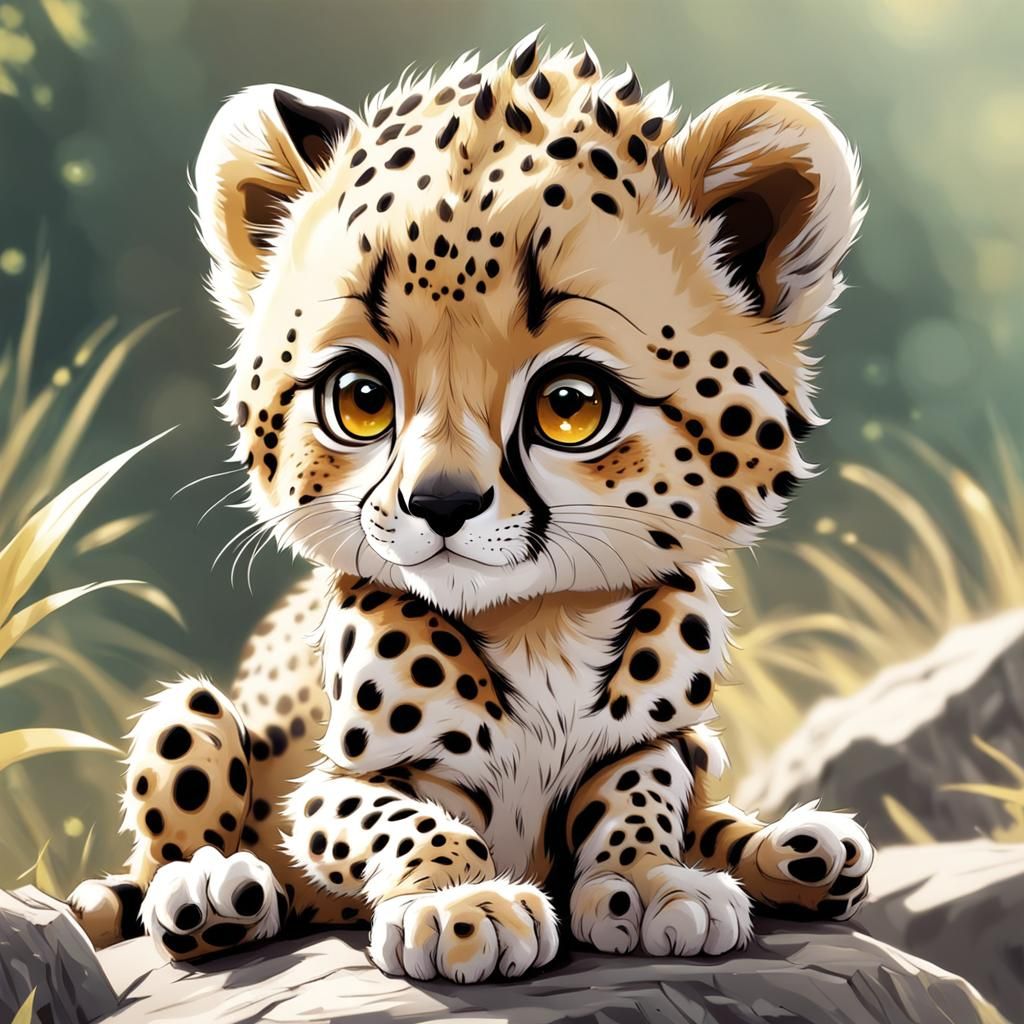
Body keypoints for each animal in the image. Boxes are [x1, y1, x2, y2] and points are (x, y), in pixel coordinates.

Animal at [69, 32, 872, 983]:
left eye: (571, 404)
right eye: (359, 397)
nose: (439, 503)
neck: (539, 624)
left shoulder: (656, 740)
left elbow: (642, 794)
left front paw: (648, 882)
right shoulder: (335, 785)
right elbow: (403, 820)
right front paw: (460, 905)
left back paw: (797, 850)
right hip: (189, 716)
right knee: (178, 823)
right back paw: (209, 891)